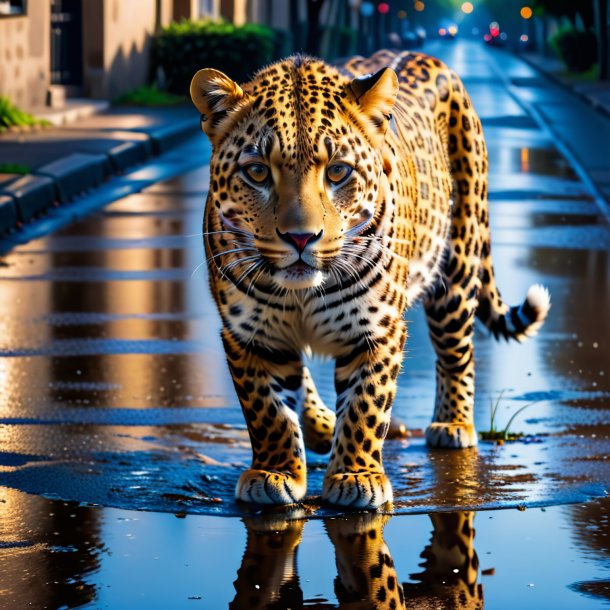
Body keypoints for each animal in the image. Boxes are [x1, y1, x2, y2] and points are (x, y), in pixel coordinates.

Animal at [188, 50, 548, 508]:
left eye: (338, 172)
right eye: (257, 173)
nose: (301, 238)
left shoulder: (377, 330)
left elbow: (366, 404)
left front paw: (356, 476)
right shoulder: (249, 334)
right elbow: (267, 410)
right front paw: (275, 471)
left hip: (459, 263)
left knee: (456, 352)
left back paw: (453, 425)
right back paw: (321, 426)